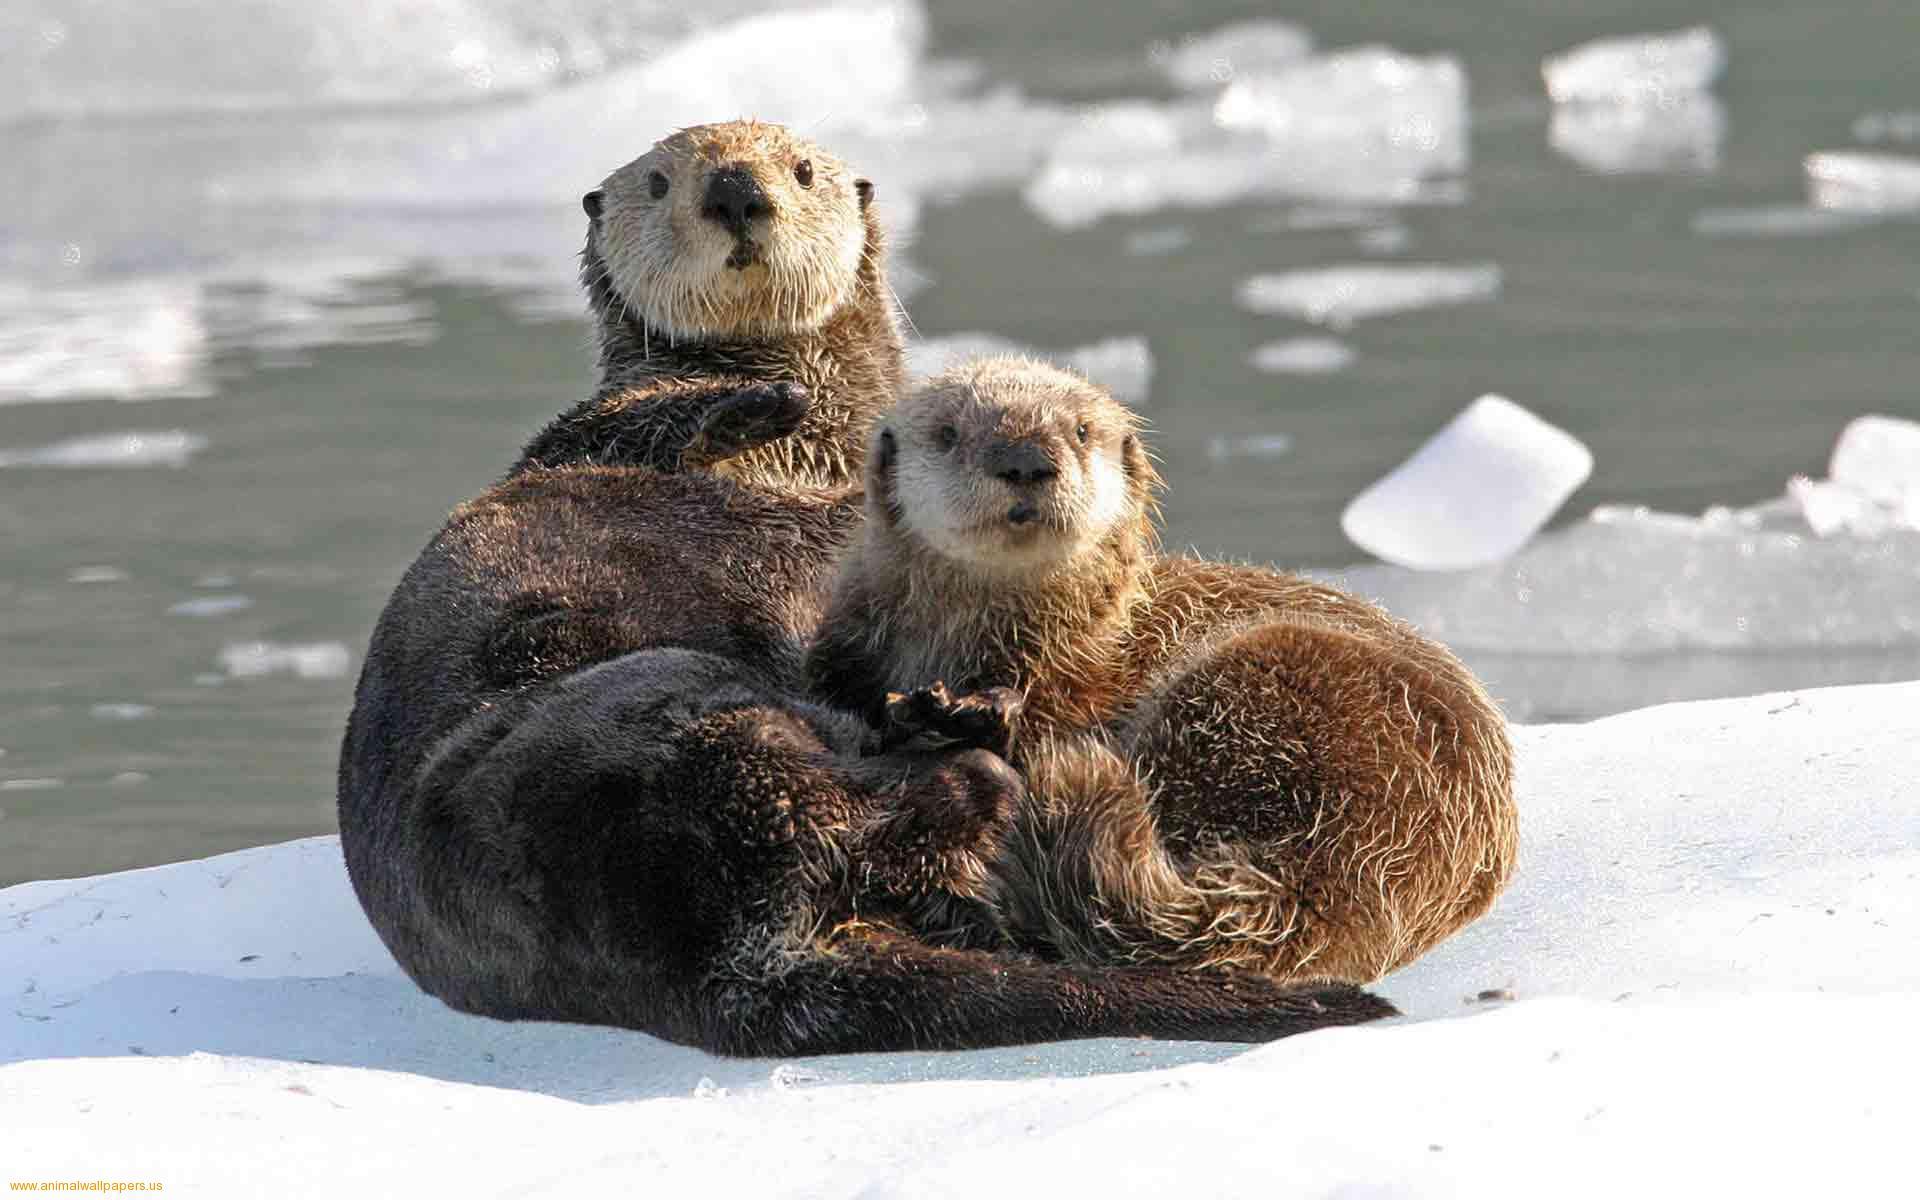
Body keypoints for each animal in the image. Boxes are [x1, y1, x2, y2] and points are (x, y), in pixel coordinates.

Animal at [338, 123, 1393, 1056]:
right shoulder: (585, 448)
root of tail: (727, 961)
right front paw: (759, 403)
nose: (737, 192)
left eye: (801, 169)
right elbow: (623, 429)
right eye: (661, 182)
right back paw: (960, 746)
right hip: (676, 721)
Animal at [808, 356, 1518, 984]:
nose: (1026, 461)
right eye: (949, 432)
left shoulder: (1076, 679)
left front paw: (966, 713)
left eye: (1081, 430)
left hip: (1256, 685)